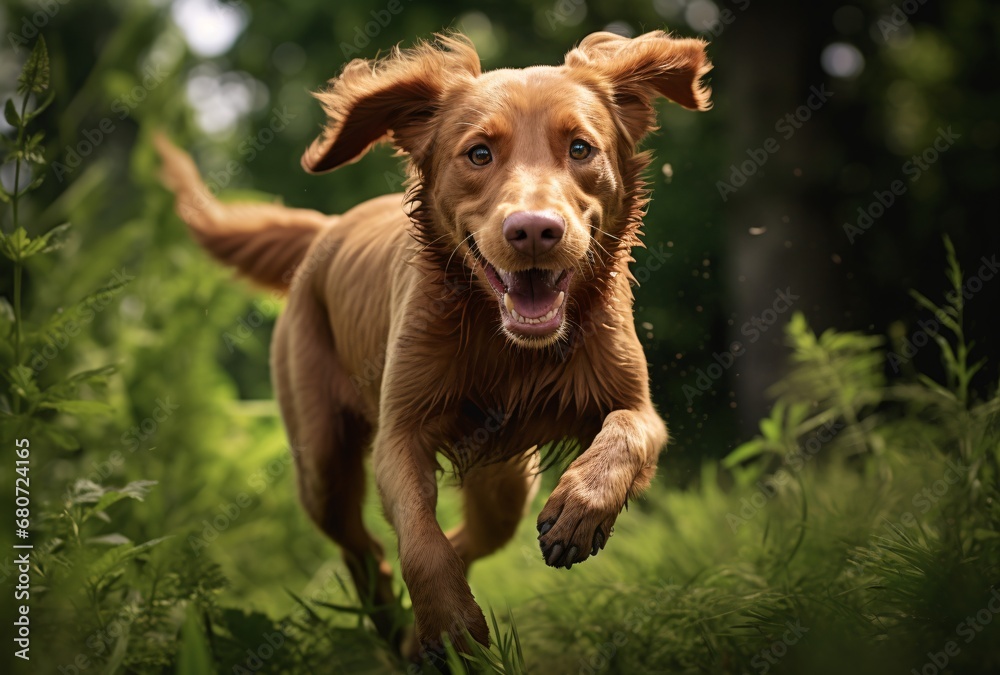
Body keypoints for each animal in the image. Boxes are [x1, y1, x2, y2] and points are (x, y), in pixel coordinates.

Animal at [154, 30, 712, 660]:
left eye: (580, 148)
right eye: (479, 154)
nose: (534, 231)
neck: (505, 345)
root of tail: (326, 229)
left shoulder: (636, 405)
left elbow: (624, 436)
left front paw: (578, 511)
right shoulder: (400, 434)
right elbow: (421, 541)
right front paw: (448, 624)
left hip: (505, 483)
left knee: (470, 536)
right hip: (321, 464)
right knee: (366, 548)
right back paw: (396, 625)